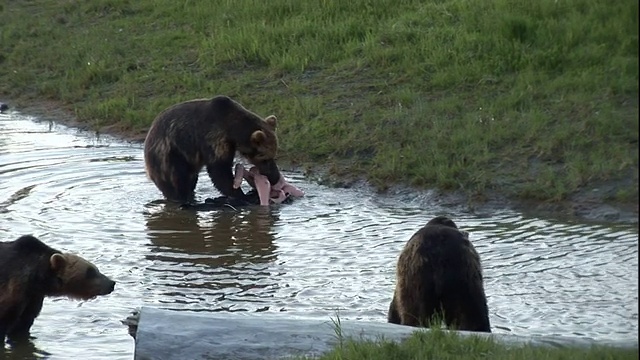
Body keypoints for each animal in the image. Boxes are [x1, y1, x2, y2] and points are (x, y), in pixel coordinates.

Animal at [144, 95, 282, 202]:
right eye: (264, 158)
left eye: (274, 156)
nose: (275, 177)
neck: (233, 128)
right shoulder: (214, 137)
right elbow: (219, 170)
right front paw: (240, 195)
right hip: (170, 154)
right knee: (178, 177)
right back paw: (182, 198)